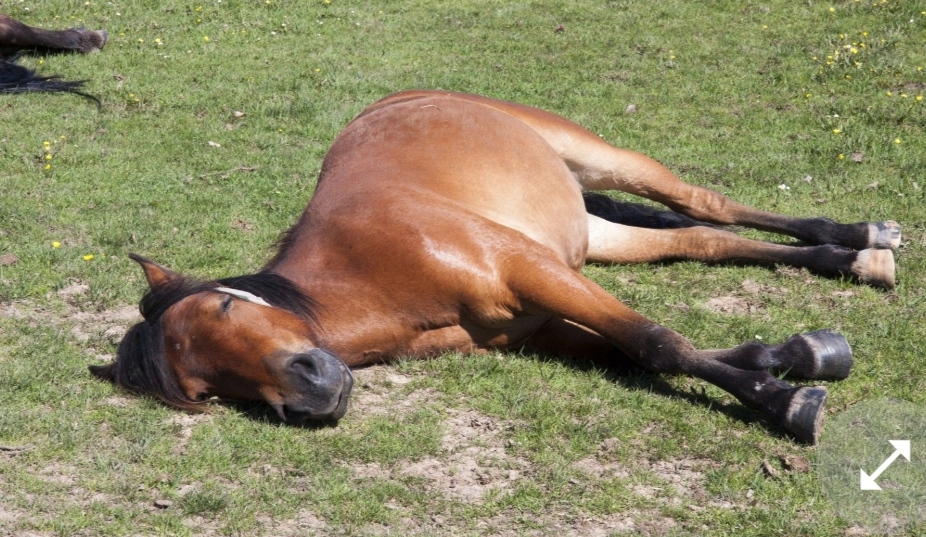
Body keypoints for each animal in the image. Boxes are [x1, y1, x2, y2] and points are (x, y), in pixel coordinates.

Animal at [90, 91, 904, 444]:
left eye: (226, 307)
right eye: (204, 390)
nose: (310, 393)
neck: (374, 272)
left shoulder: (532, 270)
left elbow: (656, 342)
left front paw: (786, 403)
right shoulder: (536, 325)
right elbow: (638, 350)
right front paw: (793, 355)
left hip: (598, 161)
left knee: (705, 203)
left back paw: (868, 235)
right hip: (590, 233)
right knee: (701, 237)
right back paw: (856, 255)